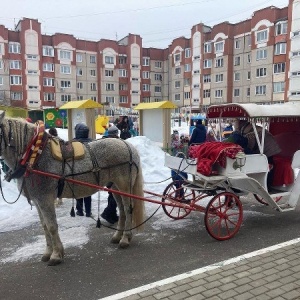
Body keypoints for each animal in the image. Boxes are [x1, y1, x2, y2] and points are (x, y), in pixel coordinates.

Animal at [0, 112, 145, 264]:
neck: (35, 155)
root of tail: (127, 145)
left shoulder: (45, 199)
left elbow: (52, 226)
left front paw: (56, 254)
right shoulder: (38, 201)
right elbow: (44, 226)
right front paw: (48, 252)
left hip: (124, 187)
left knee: (128, 209)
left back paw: (125, 238)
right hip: (114, 186)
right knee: (122, 211)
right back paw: (117, 236)